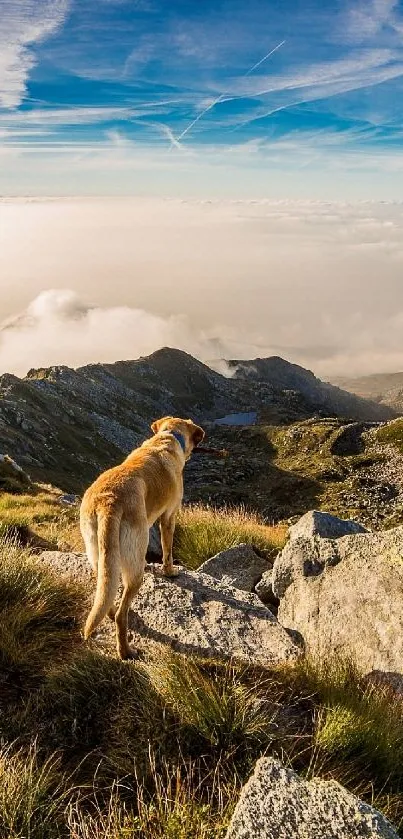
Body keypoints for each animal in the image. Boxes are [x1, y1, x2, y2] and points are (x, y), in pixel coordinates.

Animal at [79, 416, 205, 660]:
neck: (167, 437)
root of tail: (108, 502)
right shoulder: (169, 517)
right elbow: (168, 550)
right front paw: (170, 572)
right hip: (136, 566)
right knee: (122, 614)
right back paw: (125, 650)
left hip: (98, 552)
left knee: (106, 592)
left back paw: (108, 614)